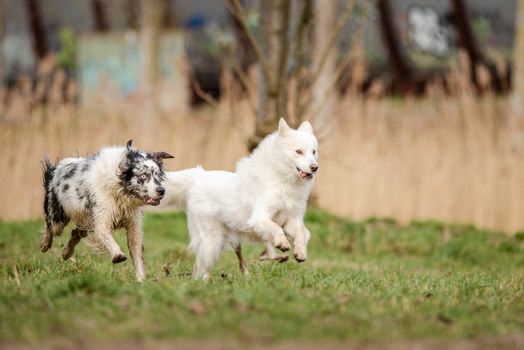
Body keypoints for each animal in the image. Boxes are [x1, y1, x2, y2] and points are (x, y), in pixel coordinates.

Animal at [41, 139, 172, 282]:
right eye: (143, 175)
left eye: (158, 175)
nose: (162, 191)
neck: (119, 189)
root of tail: (57, 168)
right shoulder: (102, 218)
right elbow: (105, 235)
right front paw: (117, 254)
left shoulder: (133, 223)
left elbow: (136, 251)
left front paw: (141, 280)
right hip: (59, 218)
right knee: (51, 227)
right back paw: (45, 244)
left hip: (85, 220)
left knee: (76, 232)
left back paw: (66, 253)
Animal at [165, 118, 320, 278]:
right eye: (298, 151)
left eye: (314, 152)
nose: (315, 167)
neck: (283, 180)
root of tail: (198, 177)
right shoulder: (259, 217)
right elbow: (276, 228)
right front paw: (282, 243)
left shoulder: (292, 220)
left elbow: (302, 233)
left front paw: (300, 252)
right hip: (212, 241)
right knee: (201, 270)